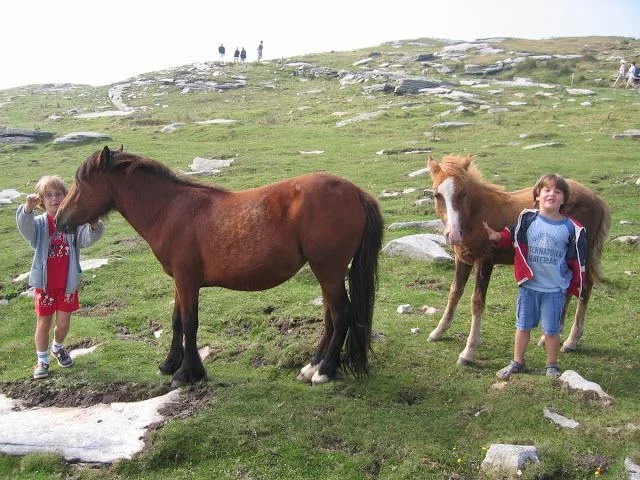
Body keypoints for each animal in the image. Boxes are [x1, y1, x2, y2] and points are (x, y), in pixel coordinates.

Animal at [56, 146, 383, 387]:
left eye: (81, 184)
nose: (59, 219)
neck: (170, 210)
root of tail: (356, 192)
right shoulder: (180, 281)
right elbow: (177, 321)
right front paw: (170, 363)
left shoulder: (187, 280)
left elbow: (189, 323)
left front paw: (187, 373)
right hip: (326, 272)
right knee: (331, 317)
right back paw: (312, 366)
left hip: (328, 270)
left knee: (341, 315)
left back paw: (324, 371)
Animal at [427, 154, 610, 365]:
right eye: (437, 195)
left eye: (463, 193)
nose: (454, 234)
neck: (476, 215)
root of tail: (596, 198)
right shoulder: (463, 259)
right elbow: (454, 292)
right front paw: (438, 331)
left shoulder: (485, 261)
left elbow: (477, 302)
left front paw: (468, 352)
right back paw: (548, 337)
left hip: (582, 256)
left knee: (584, 289)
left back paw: (571, 341)